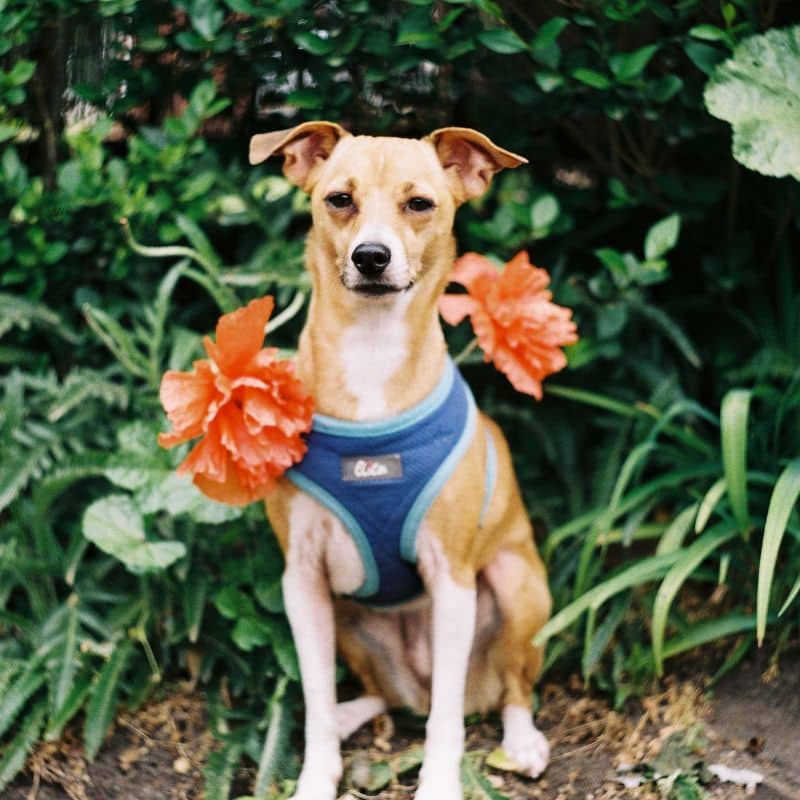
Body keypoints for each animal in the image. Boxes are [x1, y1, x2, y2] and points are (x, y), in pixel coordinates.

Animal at [250, 120, 552, 800]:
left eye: (419, 204)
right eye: (340, 199)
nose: (371, 256)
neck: (370, 350)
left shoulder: (453, 580)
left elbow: (445, 722)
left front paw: (439, 784)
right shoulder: (301, 581)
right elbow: (314, 699)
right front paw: (316, 776)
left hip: (517, 587)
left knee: (505, 687)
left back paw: (520, 737)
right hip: (348, 621)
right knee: (378, 696)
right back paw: (350, 714)